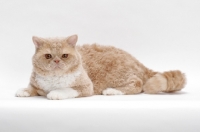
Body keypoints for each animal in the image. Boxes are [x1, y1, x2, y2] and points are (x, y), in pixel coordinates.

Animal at [15, 34, 186, 99]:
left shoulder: (86, 87)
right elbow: (31, 88)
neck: (54, 79)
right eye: (48, 56)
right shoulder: (37, 83)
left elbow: (67, 89)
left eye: (64, 55)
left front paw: (56, 93)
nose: (56, 61)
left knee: (137, 84)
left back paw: (112, 91)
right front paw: (24, 90)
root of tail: (137, 61)